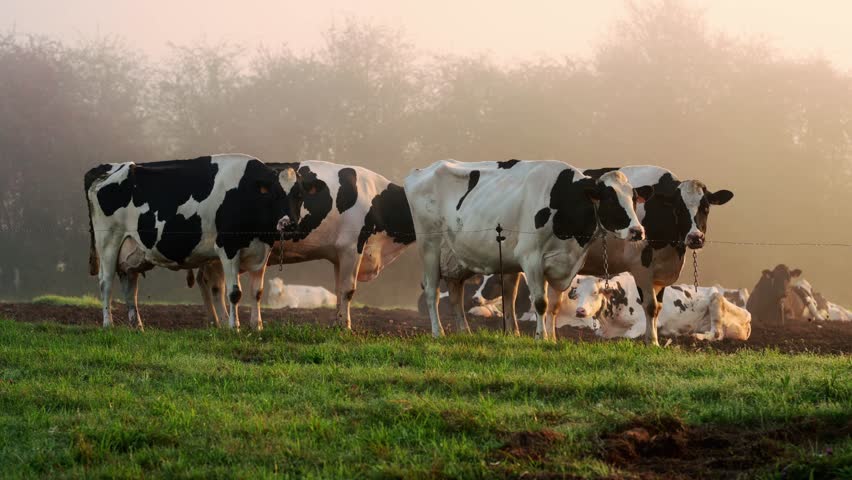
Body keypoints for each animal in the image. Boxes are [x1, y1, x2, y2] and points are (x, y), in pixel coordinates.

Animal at [84, 154, 299, 331]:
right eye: (275, 194)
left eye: (299, 195)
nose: (288, 224)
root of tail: (110, 167)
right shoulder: (228, 248)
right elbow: (234, 293)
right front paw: (235, 327)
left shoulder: (262, 251)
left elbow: (257, 292)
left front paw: (257, 327)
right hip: (108, 241)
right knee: (106, 282)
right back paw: (108, 324)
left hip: (130, 251)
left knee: (130, 286)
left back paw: (137, 326)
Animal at [192, 160, 416, 329]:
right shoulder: (352, 247)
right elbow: (347, 290)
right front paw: (346, 327)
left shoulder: (339, 253)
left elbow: (338, 289)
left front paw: (338, 324)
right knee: (217, 285)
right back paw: (222, 322)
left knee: (208, 282)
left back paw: (215, 321)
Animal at [404, 159, 652, 339]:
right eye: (610, 199)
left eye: (633, 199)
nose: (637, 231)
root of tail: (419, 172)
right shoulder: (532, 259)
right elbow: (541, 303)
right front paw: (541, 337)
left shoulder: (563, 264)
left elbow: (554, 306)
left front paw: (552, 339)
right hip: (430, 249)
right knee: (432, 292)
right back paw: (439, 333)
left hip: (456, 257)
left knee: (456, 294)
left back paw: (466, 332)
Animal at [499, 166, 733, 345]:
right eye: (679, 209)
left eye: (705, 207)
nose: (695, 237)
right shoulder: (641, 267)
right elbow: (650, 306)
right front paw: (652, 342)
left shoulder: (659, 273)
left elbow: (658, 307)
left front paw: (653, 338)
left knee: (511, 289)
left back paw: (516, 332)